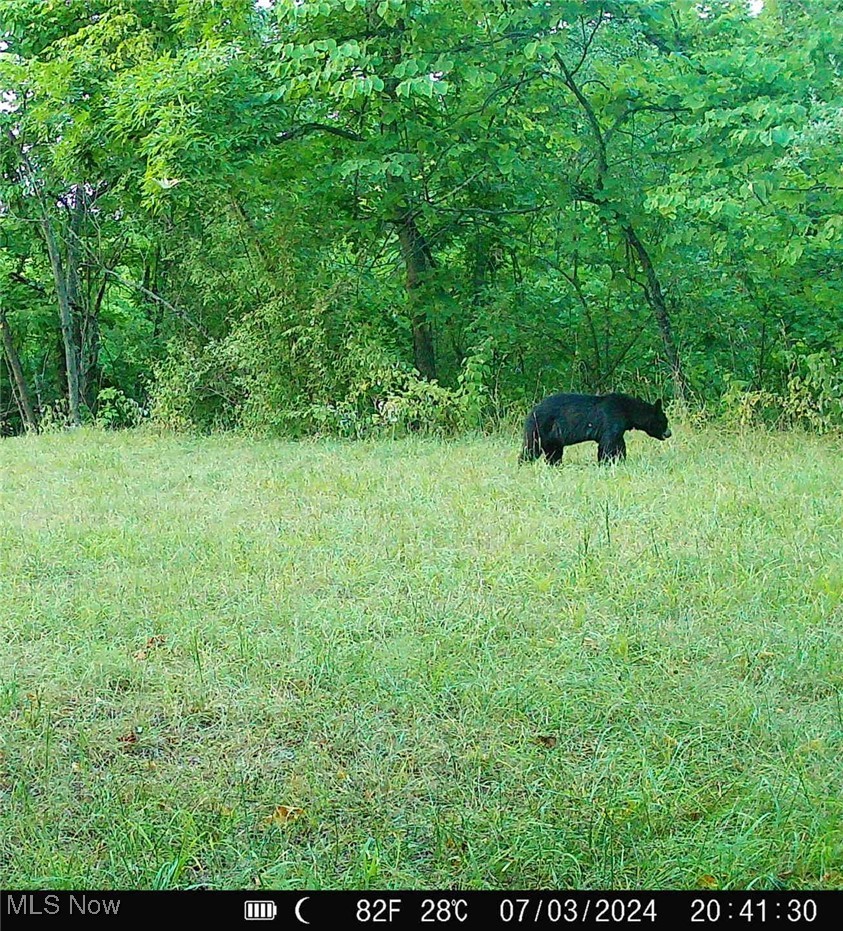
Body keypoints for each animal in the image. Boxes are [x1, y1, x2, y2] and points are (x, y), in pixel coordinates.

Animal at [520, 392, 671, 464]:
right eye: (665, 421)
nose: (669, 433)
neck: (627, 411)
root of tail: (530, 412)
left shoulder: (619, 427)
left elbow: (619, 444)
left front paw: (620, 459)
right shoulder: (611, 420)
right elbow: (608, 444)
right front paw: (606, 461)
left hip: (554, 438)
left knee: (554, 453)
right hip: (539, 428)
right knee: (531, 448)